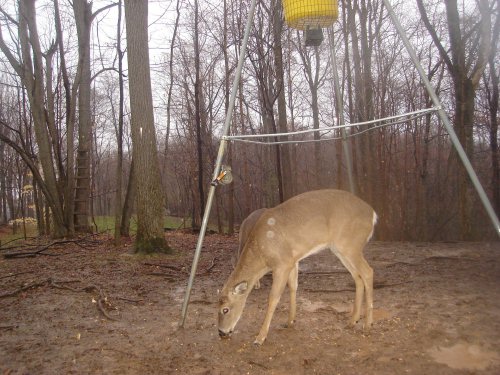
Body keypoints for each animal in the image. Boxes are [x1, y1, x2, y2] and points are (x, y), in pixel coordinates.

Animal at [217, 189, 376, 346]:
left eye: (225, 309)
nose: (221, 332)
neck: (262, 256)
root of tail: (373, 215)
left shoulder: (282, 263)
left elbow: (273, 298)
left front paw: (260, 338)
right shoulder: (292, 261)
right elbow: (293, 287)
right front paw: (290, 321)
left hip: (350, 245)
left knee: (368, 272)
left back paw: (367, 326)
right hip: (340, 249)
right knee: (357, 276)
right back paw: (353, 321)